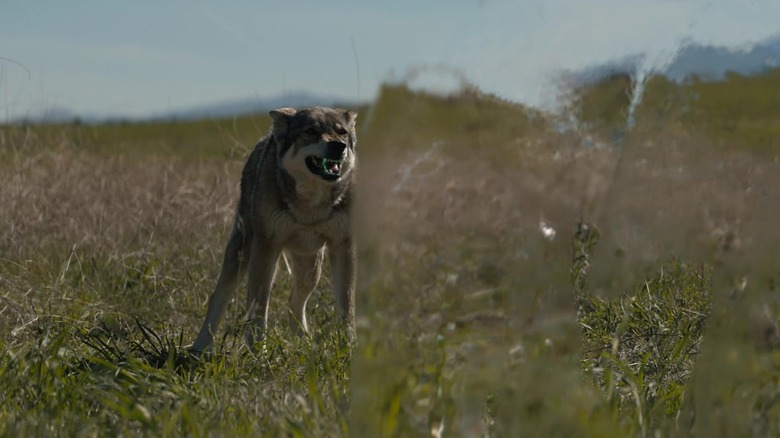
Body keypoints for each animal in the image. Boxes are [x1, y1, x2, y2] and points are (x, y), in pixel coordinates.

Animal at [190, 107, 358, 352]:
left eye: (342, 132)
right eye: (310, 131)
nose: (338, 146)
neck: (310, 207)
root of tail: (266, 138)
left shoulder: (343, 246)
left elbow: (346, 304)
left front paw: (348, 347)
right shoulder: (266, 248)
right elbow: (259, 307)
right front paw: (257, 351)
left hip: (310, 269)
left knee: (293, 302)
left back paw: (304, 344)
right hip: (242, 254)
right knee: (217, 297)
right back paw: (199, 347)